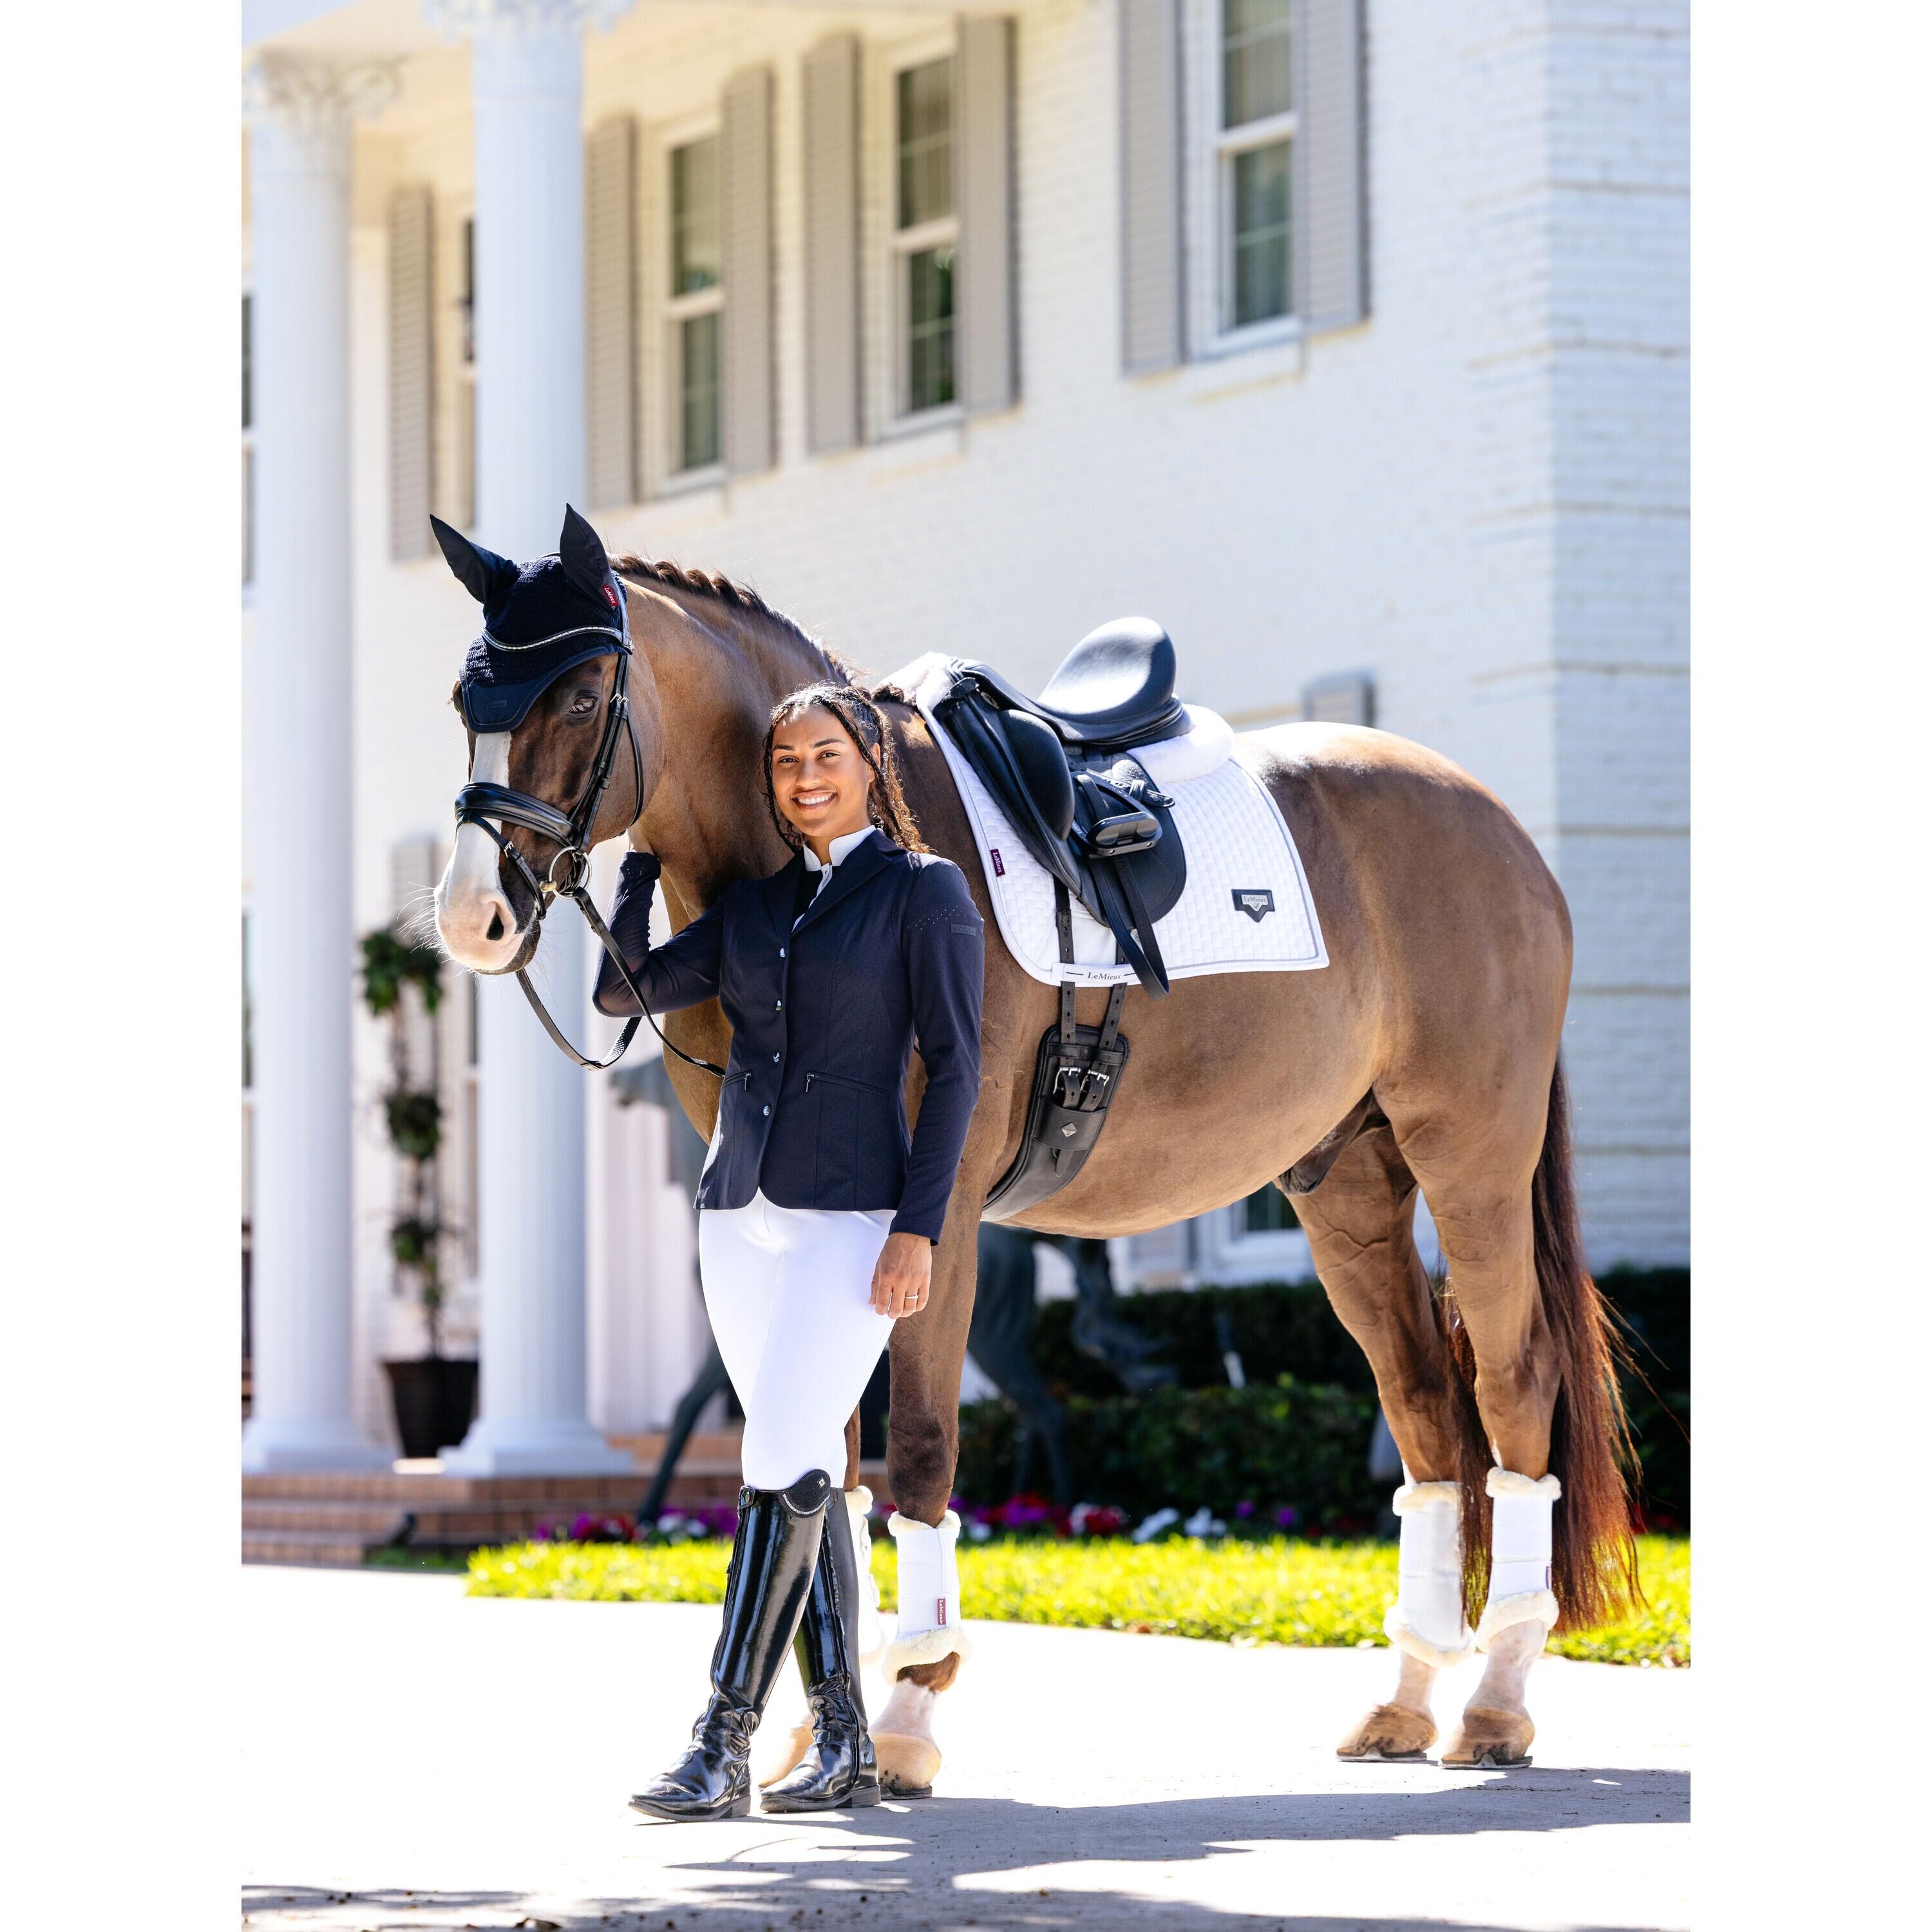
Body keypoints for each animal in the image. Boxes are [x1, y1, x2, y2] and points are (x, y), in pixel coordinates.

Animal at [434, 541, 1638, 1788]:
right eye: (466, 704)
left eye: (581, 696)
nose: (473, 916)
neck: (814, 883)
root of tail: (1498, 828)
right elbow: (823, 1468)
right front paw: (823, 1737)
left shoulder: (937, 1220)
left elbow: (918, 1453)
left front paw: (905, 1718)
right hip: (1346, 1187)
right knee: (1424, 1408)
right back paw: (1407, 1698)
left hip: (1474, 1160)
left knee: (1513, 1386)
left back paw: (1497, 1698)